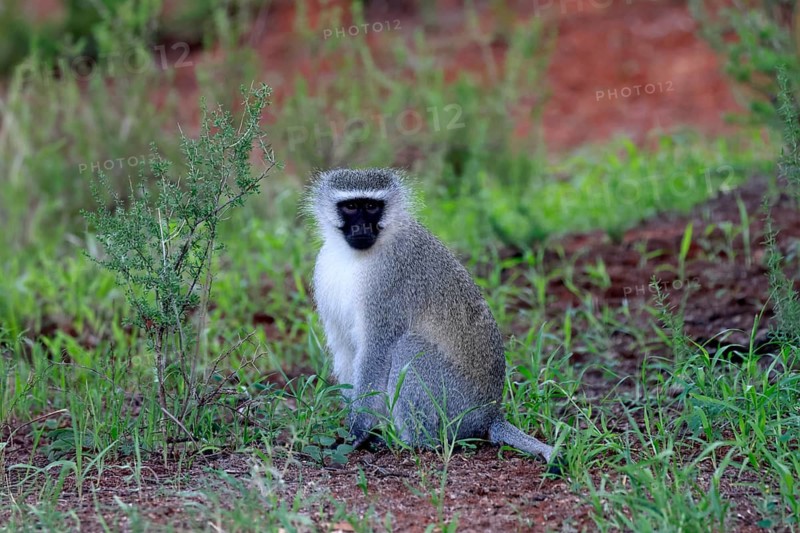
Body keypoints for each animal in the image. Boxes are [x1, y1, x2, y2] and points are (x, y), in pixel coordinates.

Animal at [305, 167, 558, 469]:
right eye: (351, 206)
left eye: (372, 207)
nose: (361, 229)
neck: (355, 256)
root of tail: (490, 414)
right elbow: (344, 348)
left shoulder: (391, 281)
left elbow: (377, 352)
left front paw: (357, 431)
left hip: (457, 406)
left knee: (408, 348)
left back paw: (413, 442)